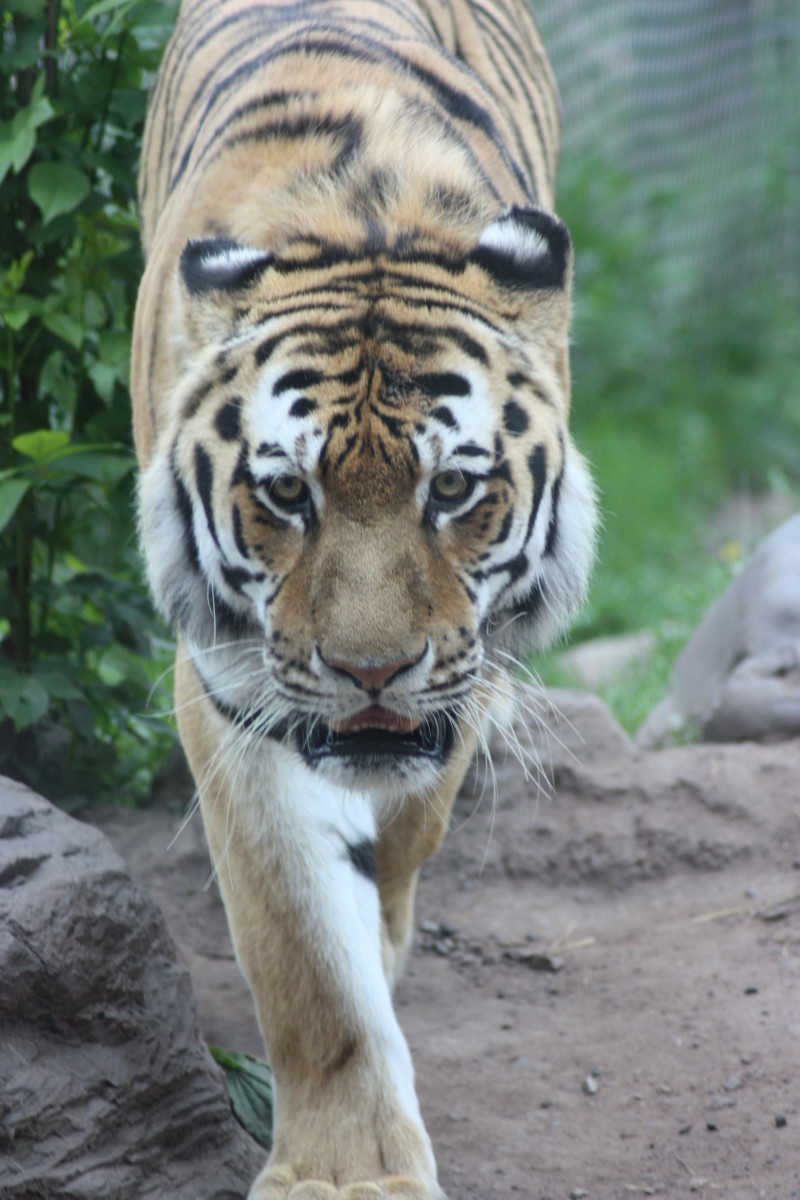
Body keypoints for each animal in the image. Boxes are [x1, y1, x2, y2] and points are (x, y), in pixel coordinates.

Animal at [131, 2, 597, 1200]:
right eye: (287, 492)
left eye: (453, 490)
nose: (370, 673)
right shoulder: (237, 685)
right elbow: (306, 963)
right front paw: (346, 1176)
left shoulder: (461, 665)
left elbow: (404, 830)